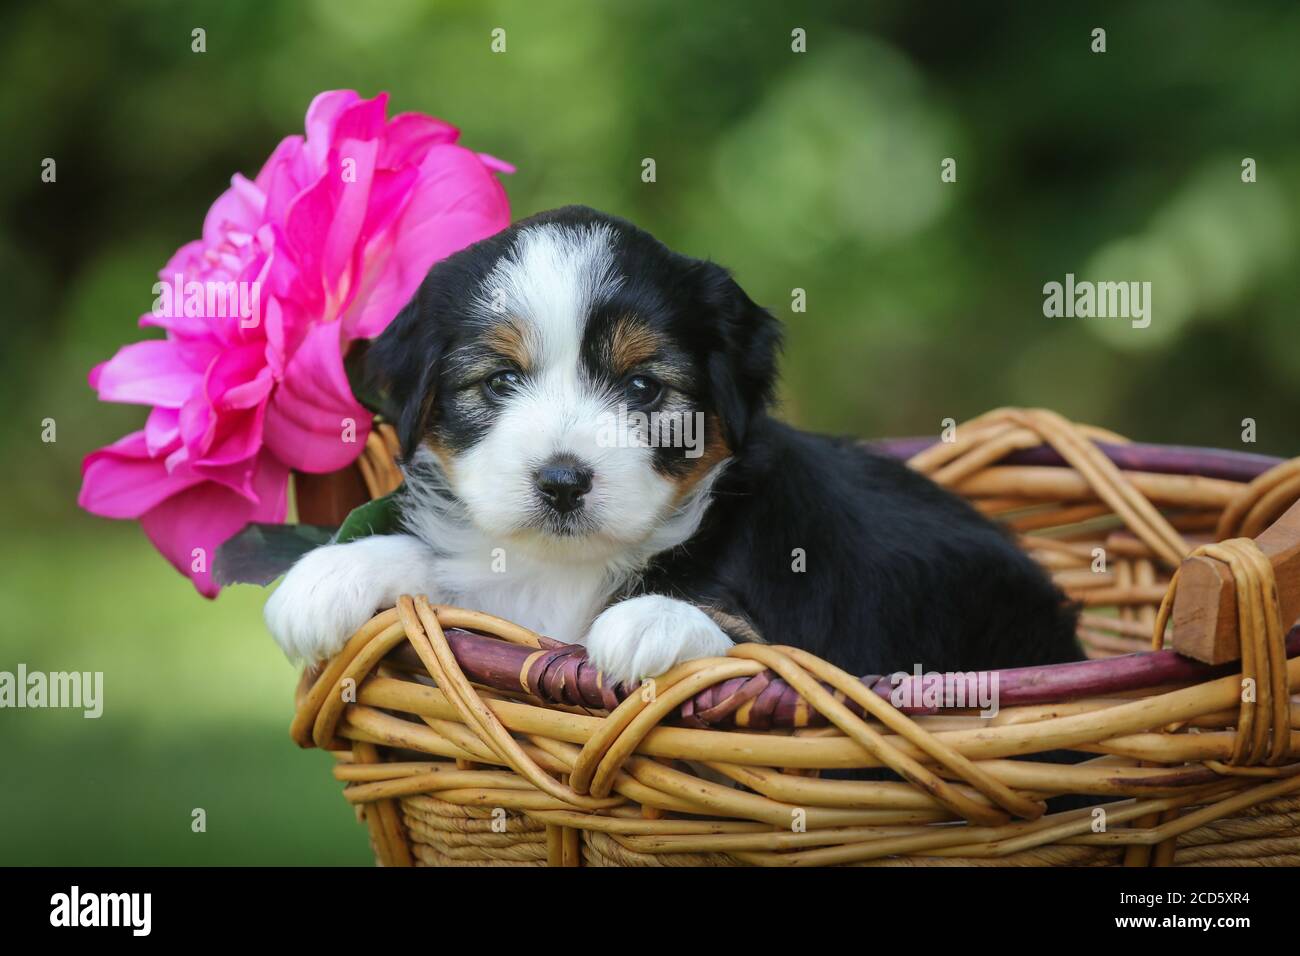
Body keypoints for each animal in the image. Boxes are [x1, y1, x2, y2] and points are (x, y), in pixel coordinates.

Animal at [263, 205, 1076, 686]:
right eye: (499, 381)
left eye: (645, 388)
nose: (563, 482)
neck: (569, 567)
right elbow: (443, 563)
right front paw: (328, 576)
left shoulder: (812, 645)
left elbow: (752, 642)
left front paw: (651, 618)